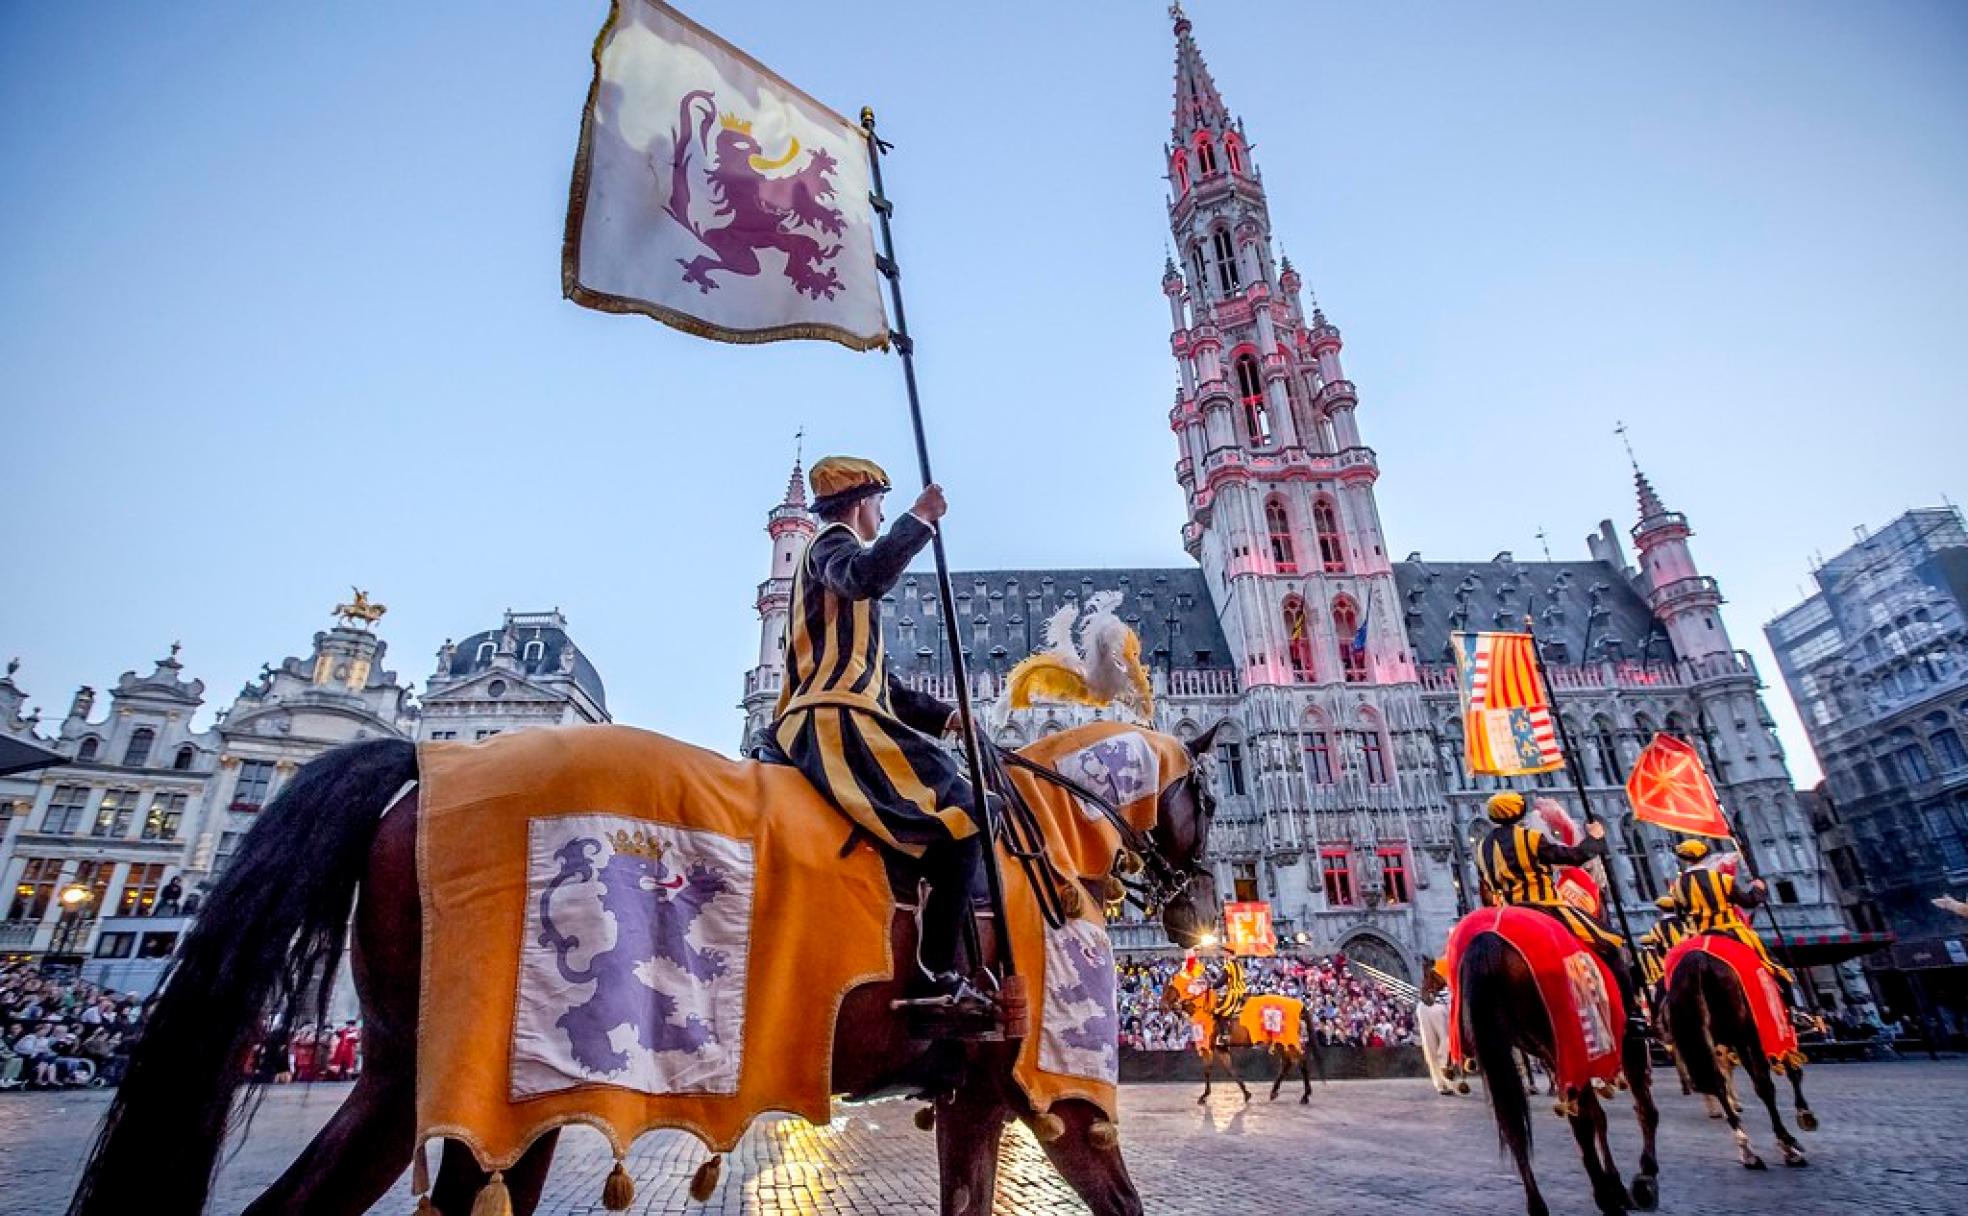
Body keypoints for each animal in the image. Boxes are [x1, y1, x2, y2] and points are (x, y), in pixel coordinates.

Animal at [69, 724, 1220, 1204]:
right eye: (1206, 792)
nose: (1201, 907)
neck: (1035, 837)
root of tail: (426, 761)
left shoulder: (997, 1096)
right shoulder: (1013, 1087)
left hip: (414, 1078)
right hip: (472, 1086)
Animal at [1464, 928, 1660, 1212]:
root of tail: (1488, 943)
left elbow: (1599, 1116)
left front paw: (1619, 1185)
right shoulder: (1624, 1042)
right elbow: (1643, 1109)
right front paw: (1644, 1176)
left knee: (1514, 1127)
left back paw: (1540, 1205)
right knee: (1581, 1121)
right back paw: (1606, 1197)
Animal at [1660, 948, 1810, 1164]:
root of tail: (1696, 962)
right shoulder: (1767, 1031)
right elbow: (1789, 1070)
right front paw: (1804, 1115)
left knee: (1716, 1082)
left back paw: (1745, 1145)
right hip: (1747, 1033)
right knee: (1763, 1084)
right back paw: (1784, 1142)